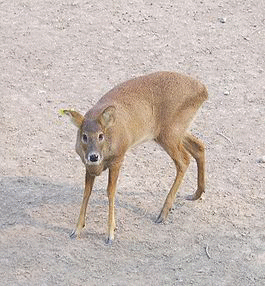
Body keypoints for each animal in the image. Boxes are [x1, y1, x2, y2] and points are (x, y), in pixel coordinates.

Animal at [61, 71, 209, 244]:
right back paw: (196, 193)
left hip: (170, 132)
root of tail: (203, 91)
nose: (93, 156)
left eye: (100, 135)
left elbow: (110, 191)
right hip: (174, 132)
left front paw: (110, 234)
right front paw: (76, 229)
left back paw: (163, 213)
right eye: (84, 136)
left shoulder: (119, 158)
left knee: (184, 160)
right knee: (199, 146)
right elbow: (86, 192)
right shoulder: (88, 167)